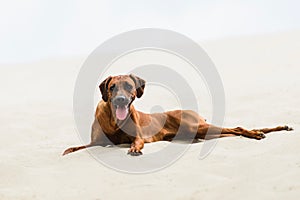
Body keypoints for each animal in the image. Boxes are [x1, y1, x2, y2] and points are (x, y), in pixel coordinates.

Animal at [63, 74, 292, 156]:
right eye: (112, 88)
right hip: (201, 131)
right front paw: (68, 150)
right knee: (232, 132)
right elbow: (79, 147)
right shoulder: (95, 142)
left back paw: (258, 133)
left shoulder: (138, 136)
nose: (120, 100)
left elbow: (136, 142)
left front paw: (135, 149)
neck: (113, 120)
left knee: (237, 128)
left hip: (196, 127)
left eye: (128, 86)